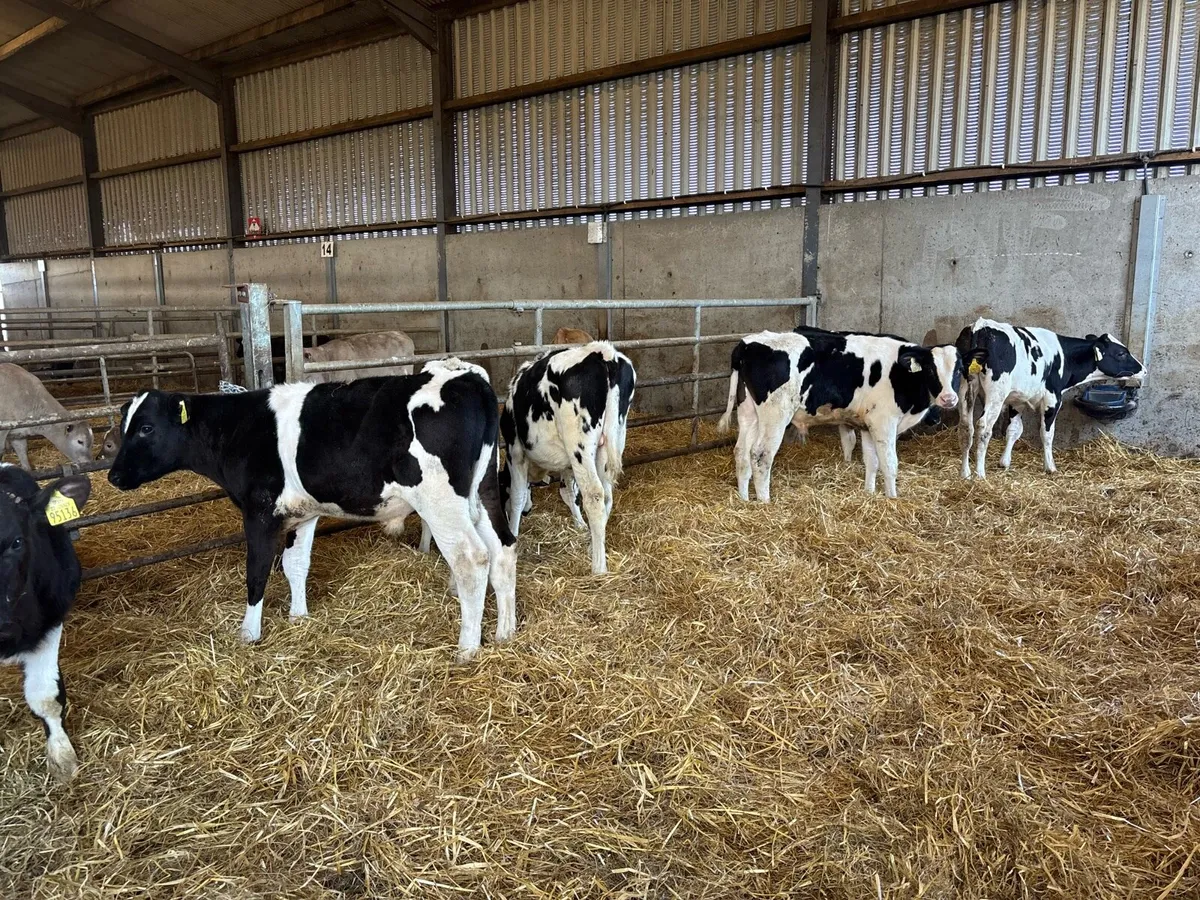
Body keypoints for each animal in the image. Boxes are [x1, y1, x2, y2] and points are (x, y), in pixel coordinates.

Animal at [107, 358, 517, 661]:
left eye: (145, 428)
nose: (113, 475)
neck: (239, 427)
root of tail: (467, 376)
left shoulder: (259, 511)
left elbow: (257, 573)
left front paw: (248, 633)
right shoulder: (304, 513)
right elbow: (296, 565)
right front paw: (298, 616)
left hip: (441, 500)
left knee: (472, 559)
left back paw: (467, 648)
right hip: (484, 490)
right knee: (504, 547)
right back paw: (505, 632)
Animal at [500, 342, 636, 575]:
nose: (528, 512)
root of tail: (603, 353)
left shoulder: (514, 450)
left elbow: (517, 495)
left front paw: (513, 533)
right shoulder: (567, 464)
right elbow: (568, 492)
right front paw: (580, 524)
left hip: (580, 445)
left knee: (594, 495)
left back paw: (599, 567)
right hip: (611, 440)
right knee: (607, 495)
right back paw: (594, 544)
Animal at [718, 330, 961, 500]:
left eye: (958, 370)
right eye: (930, 369)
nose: (949, 398)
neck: (901, 374)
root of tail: (747, 343)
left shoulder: (868, 424)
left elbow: (872, 462)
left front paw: (869, 493)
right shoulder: (884, 422)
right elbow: (889, 464)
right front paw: (892, 498)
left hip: (749, 412)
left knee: (741, 452)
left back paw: (744, 500)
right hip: (776, 414)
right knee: (761, 455)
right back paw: (764, 502)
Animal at [956, 319, 1144, 479]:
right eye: (1121, 353)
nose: (1144, 369)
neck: (1065, 357)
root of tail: (980, 326)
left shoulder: (1017, 400)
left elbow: (1014, 430)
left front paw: (1005, 462)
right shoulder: (1052, 399)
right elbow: (1047, 433)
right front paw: (1050, 466)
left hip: (966, 388)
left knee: (966, 427)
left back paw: (965, 473)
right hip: (996, 394)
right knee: (983, 426)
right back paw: (980, 474)